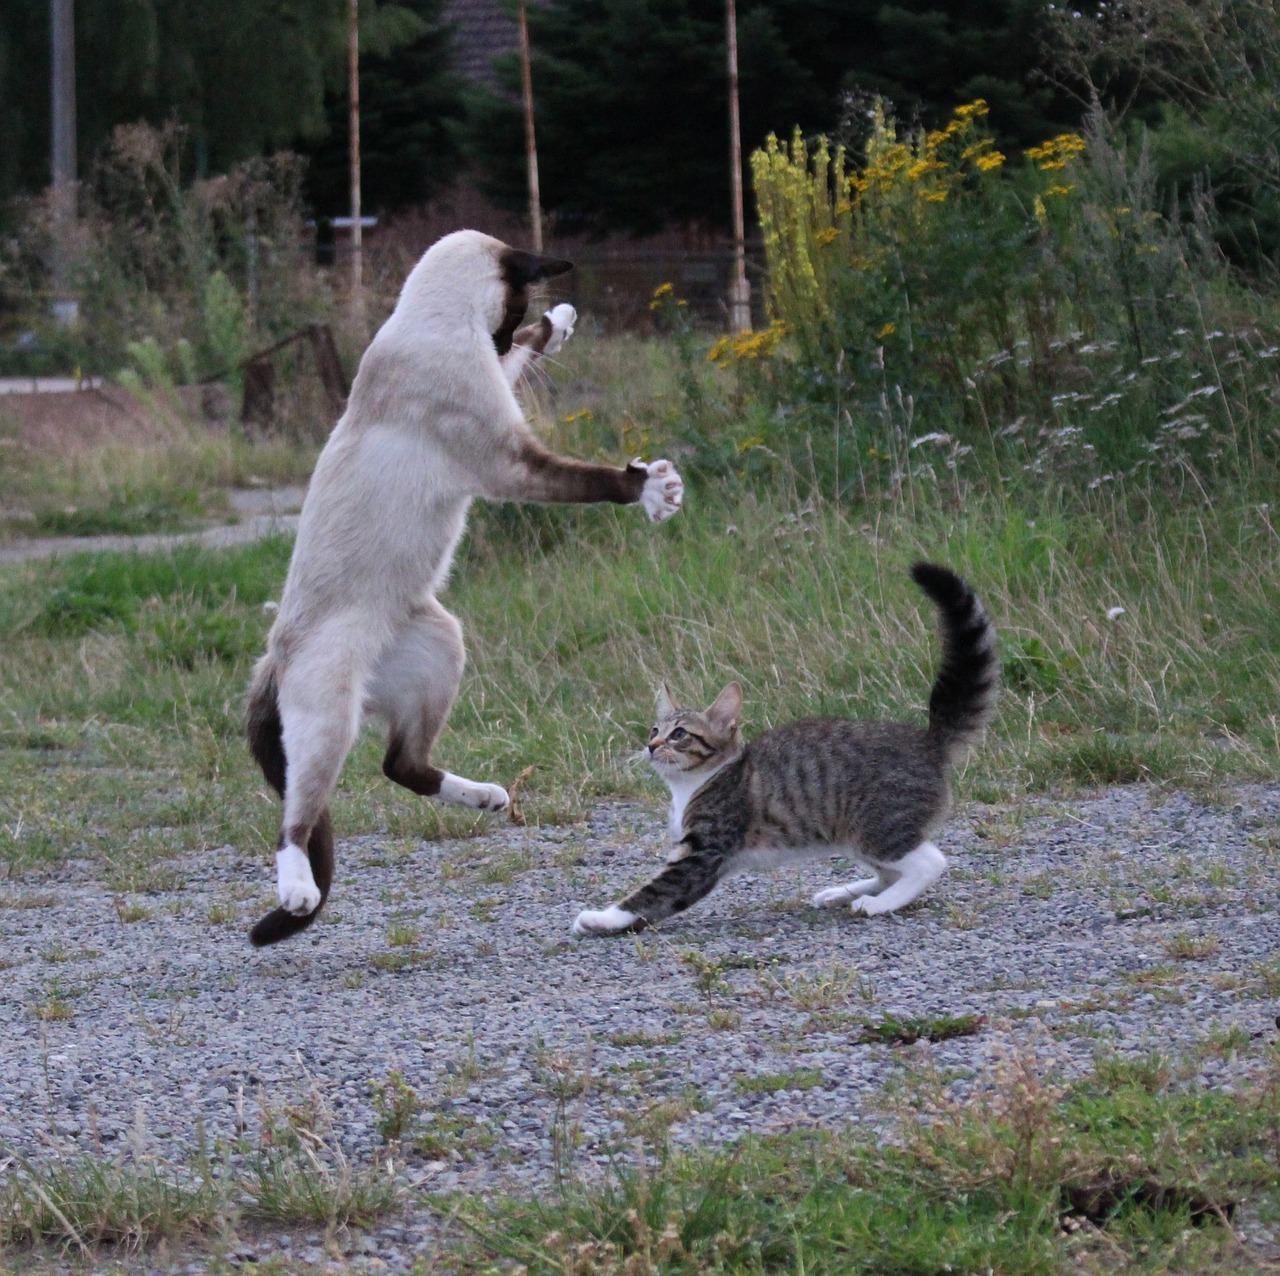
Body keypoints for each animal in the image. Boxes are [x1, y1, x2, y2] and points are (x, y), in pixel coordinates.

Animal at [252, 229, 691, 947]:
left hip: (441, 642)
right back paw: (296, 892)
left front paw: (560, 323)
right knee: (298, 816)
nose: (502, 334)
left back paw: (489, 797)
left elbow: (525, 358)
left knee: (399, 764)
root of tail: (271, 653)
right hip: (332, 716)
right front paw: (652, 490)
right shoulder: (508, 461)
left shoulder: (500, 396)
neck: (435, 325)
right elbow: (591, 480)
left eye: (514, 319)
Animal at [573, 560, 998, 936]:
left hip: (877, 824)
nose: (651, 745)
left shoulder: (704, 852)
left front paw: (600, 919)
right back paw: (841, 893)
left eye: (679, 734)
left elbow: (652, 893)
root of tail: (926, 741)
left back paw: (877, 904)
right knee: (890, 870)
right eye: (654, 729)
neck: (691, 784)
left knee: (929, 862)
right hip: (852, 831)